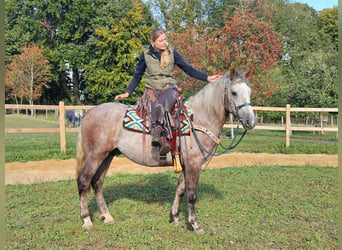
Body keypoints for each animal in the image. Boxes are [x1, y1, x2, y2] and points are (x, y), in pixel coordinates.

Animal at [75, 68, 256, 232]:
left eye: (249, 92)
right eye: (234, 92)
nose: (250, 121)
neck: (199, 118)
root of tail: (89, 112)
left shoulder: (186, 164)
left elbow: (180, 190)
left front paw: (175, 218)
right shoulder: (193, 163)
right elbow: (191, 193)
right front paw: (195, 225)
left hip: (107, 156)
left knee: (97, 183)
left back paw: (107, 216)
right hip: (95, 156)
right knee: (84, 181)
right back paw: (86, 220)